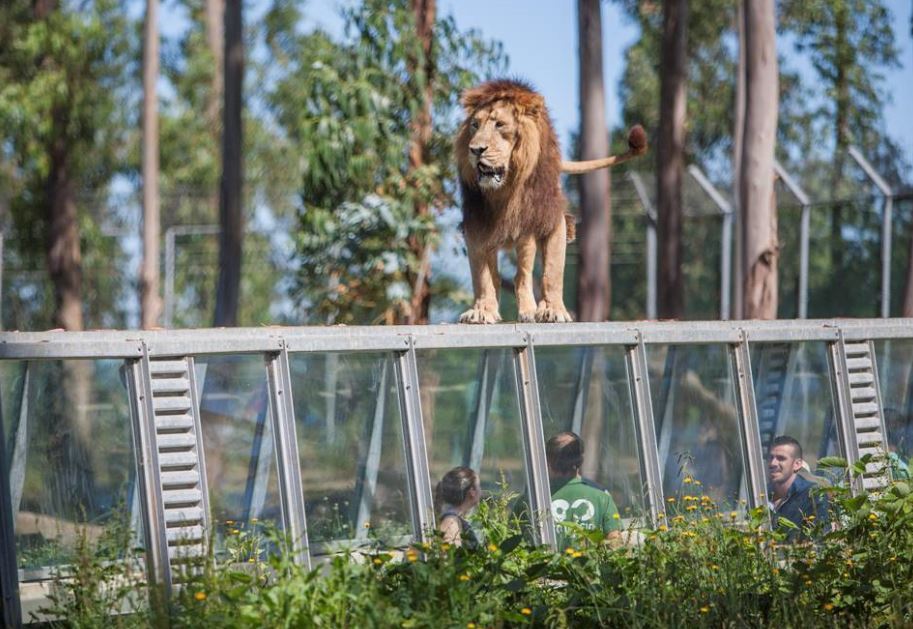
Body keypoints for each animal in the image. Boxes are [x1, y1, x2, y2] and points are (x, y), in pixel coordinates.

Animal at [452, 79, 644, 324]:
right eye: (475, 125)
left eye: (500, 125)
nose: (475, 149)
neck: (506, 190)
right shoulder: (476, 224)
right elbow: (482, 275)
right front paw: (481, 310)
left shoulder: (548, 219)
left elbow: (551, 271)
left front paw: (552, 310)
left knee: (522, 275)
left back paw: (528, 310)